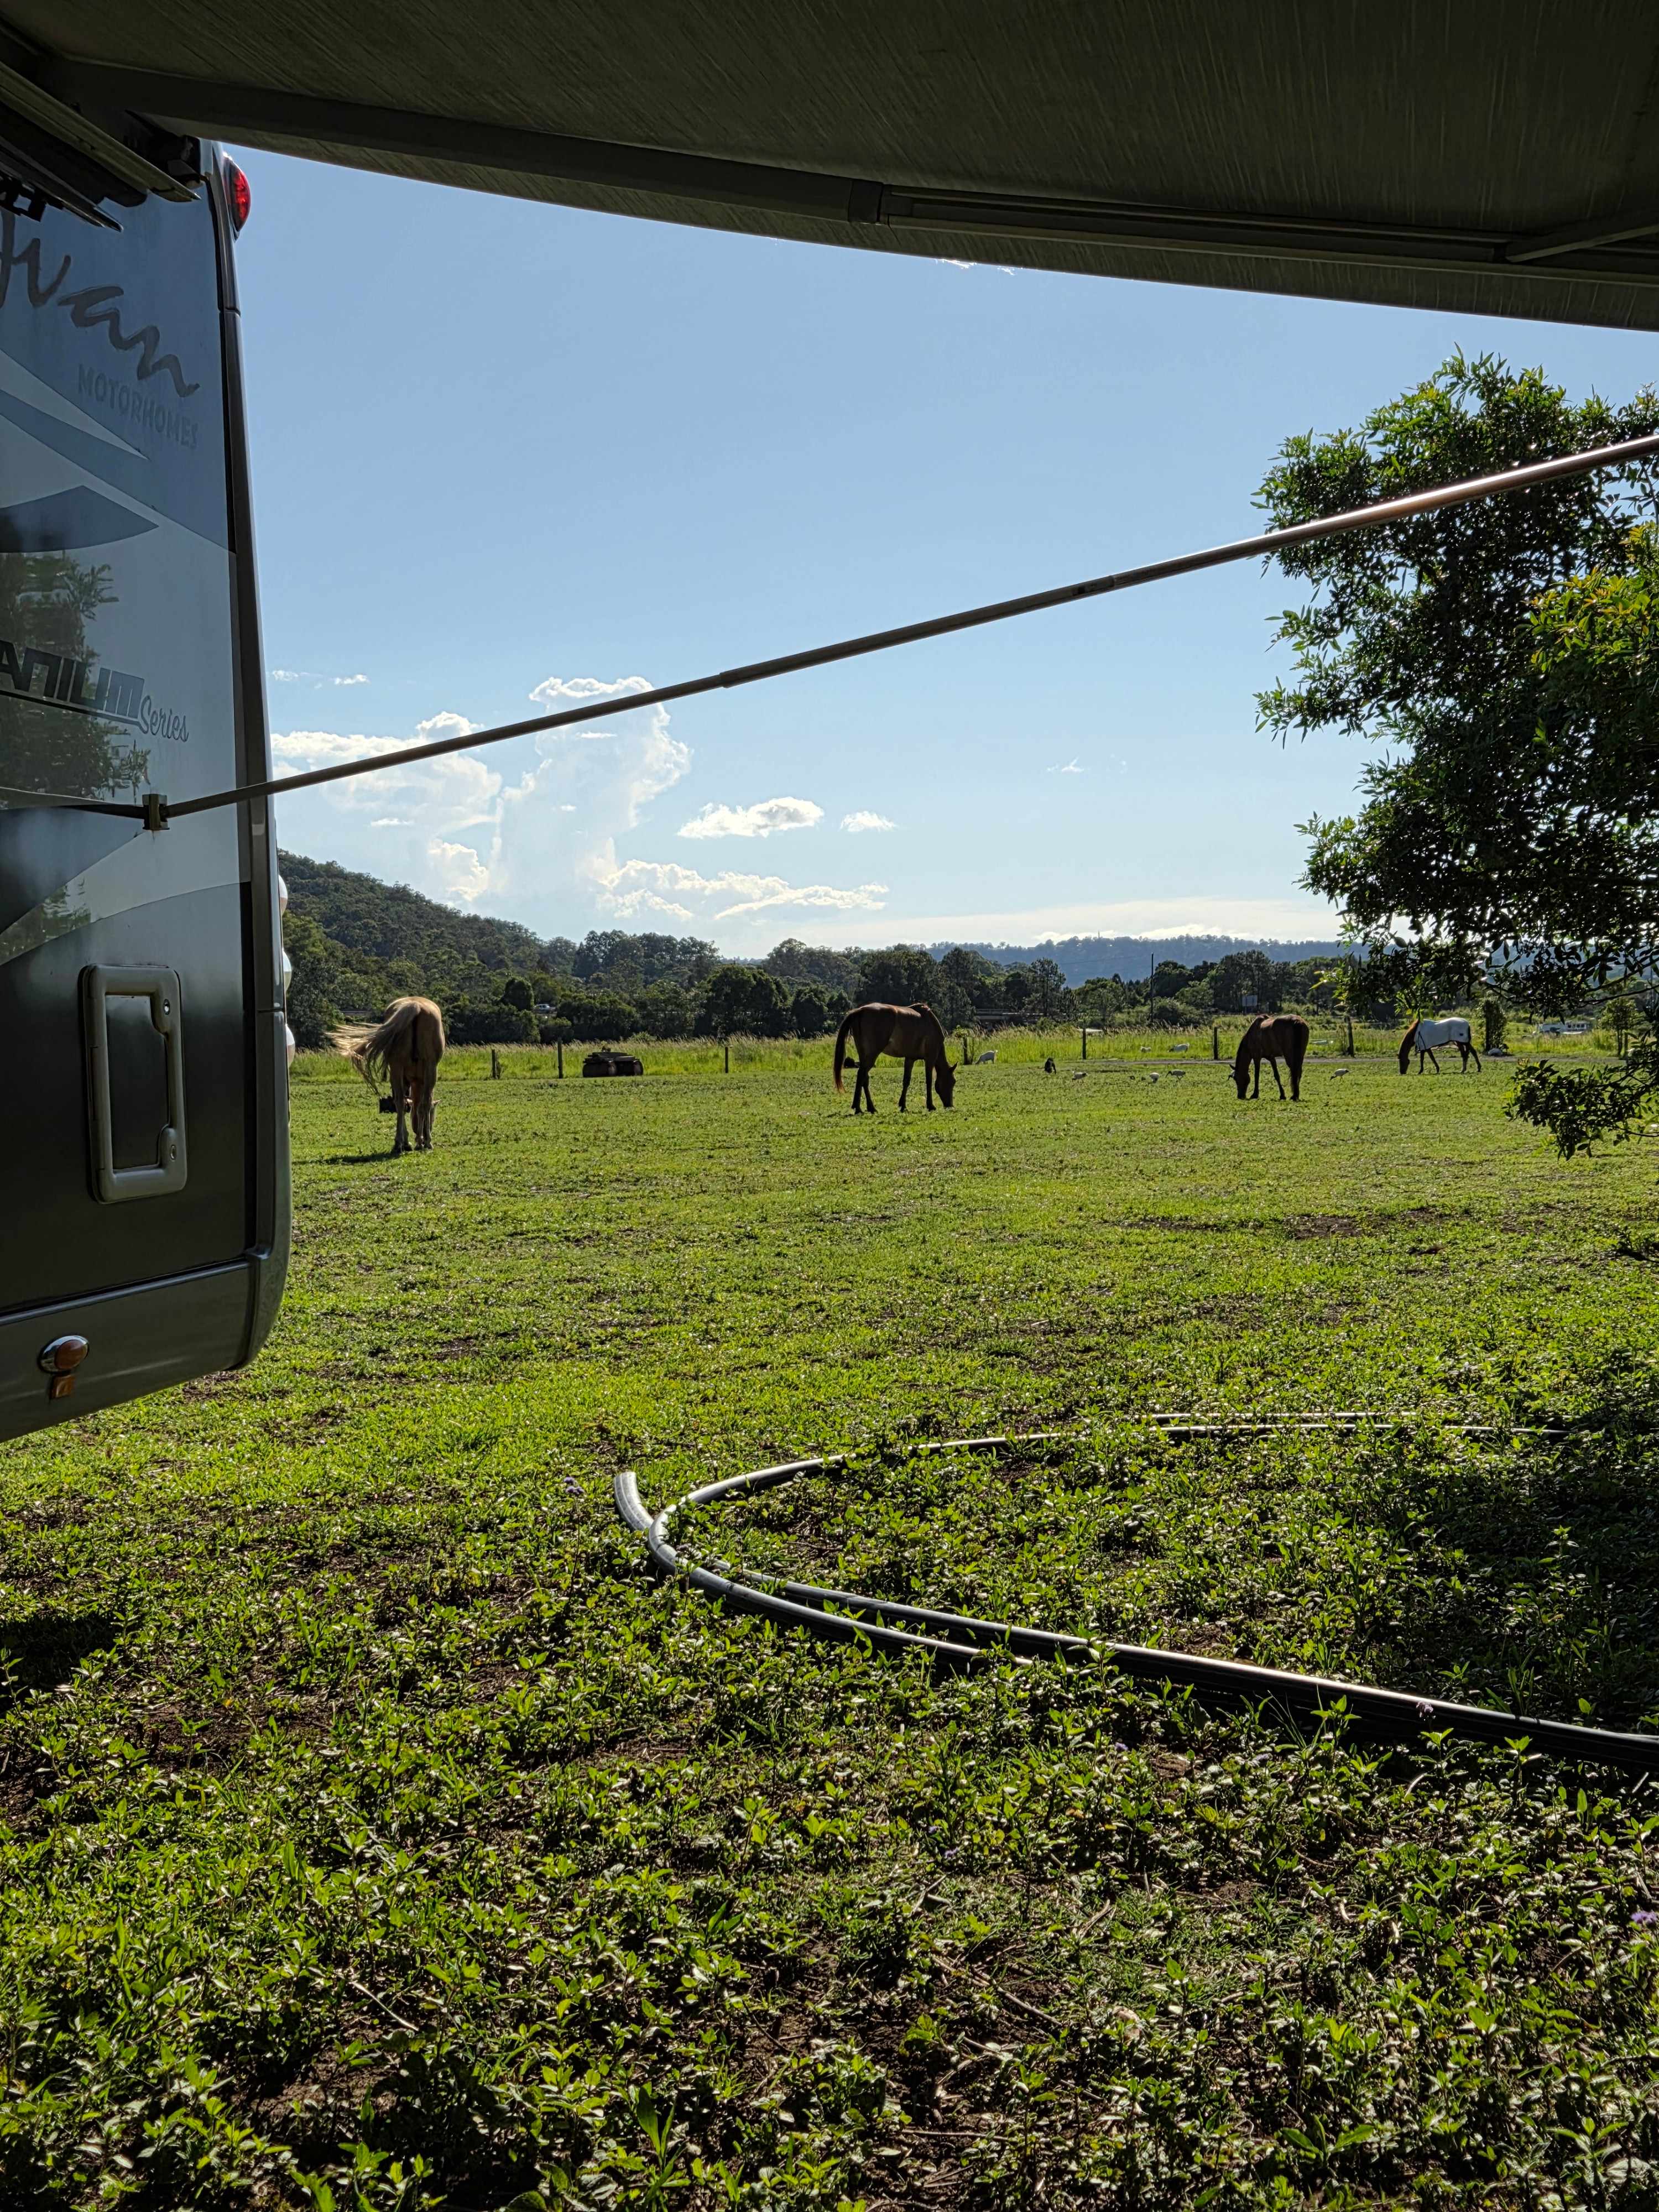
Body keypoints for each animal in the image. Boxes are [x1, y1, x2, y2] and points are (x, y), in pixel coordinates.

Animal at [354, 996, 446, 1153]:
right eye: (433, 1117)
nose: (426, 1132)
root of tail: (415, 1005)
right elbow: (420, 1106)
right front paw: (420, 1140)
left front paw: (409, 1141)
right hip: (430, 1069)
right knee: (424, 1103)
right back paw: (426, 1143)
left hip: (397, 1069)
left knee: (400, 1103)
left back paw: (399, 1144)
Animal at [833, 1002, 956, 1113]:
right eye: (953, 1082)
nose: (950, 1105)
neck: (930, 1023)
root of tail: (859, 1011)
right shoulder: (930, 1059)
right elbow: (929, 1081)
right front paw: (930, 1106)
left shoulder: (910, 1059)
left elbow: (906, 1081)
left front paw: (903, 1106)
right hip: (872, 1055)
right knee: (861, 1075)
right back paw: (858, 1108)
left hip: (864, 1056)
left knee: (864, 1079)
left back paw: (871, 1108)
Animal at [1233, 1013, 1309, 1101]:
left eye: (1236, 1078)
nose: (1240, 1096)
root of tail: (1297, 1022)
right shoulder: (1271, 1058)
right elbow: (1277, 1076)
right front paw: (1282, 1095)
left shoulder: (1256, 1057)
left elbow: (1256, 1075)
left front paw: (1255, 1094)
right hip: (1300, 1055)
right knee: (1299, 1071)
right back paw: (1296, 1095)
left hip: (1289, 1055)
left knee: (1295, 1071)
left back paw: (1294, 1095)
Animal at [1399, 1017, 1482, 1075]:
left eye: (1402, 1061)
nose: (1402, 1072)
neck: (1416, 1032)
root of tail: (1467, 1024)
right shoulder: (1427, 1048)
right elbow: (1432, 1058)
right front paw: (1438, 1069)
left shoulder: (1423, 1048)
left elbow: (1422, 1059)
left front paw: (1420, 1071)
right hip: (1464, 1043)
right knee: (1473, 1052)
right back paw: (1478, 1068)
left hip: (1460, 1042)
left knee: (1465, 1055)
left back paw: (1463, 1070)